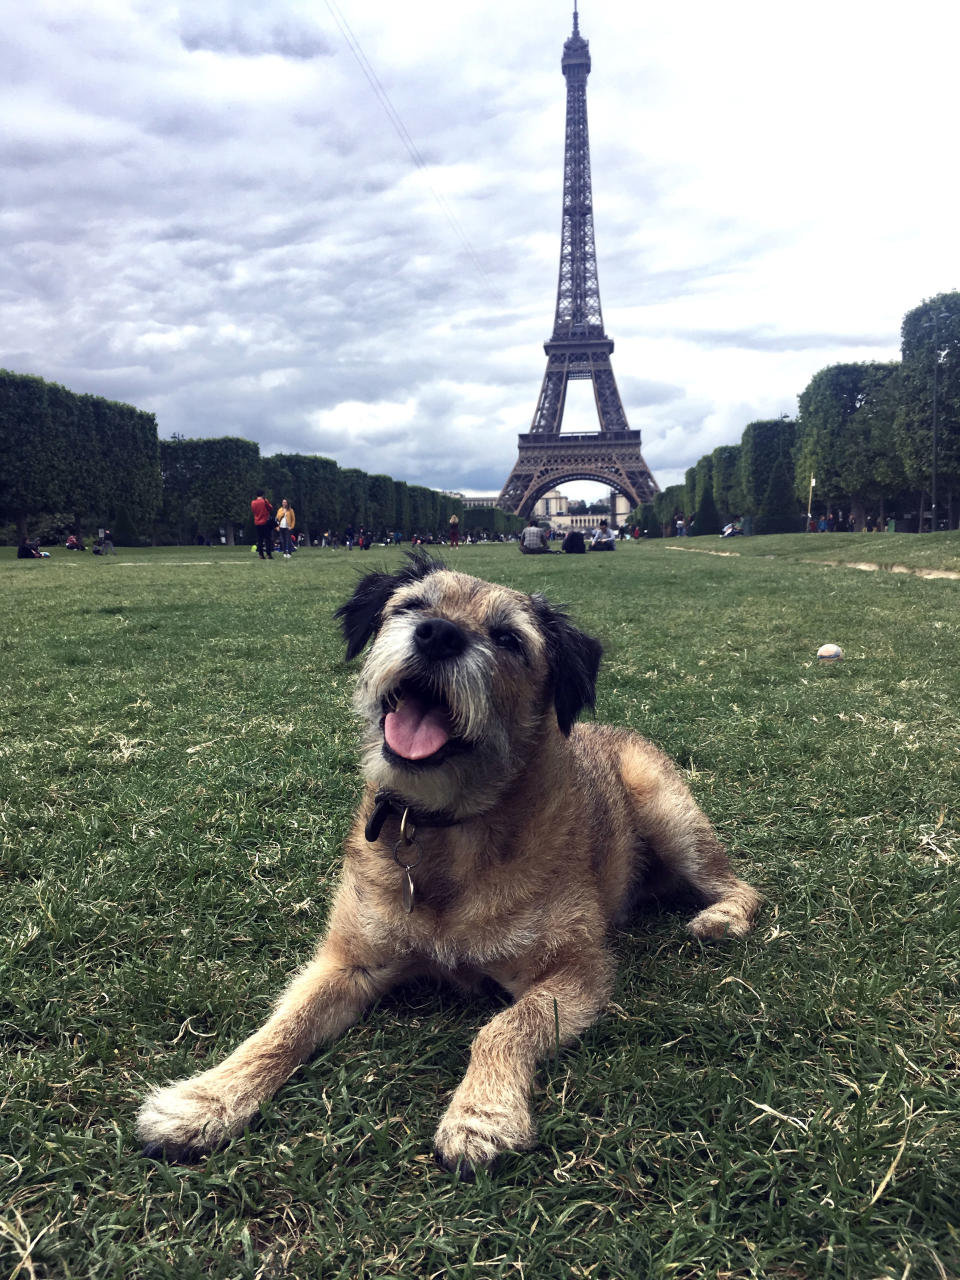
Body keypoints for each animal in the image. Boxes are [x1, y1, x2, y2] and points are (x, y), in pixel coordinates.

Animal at [136, 555, 757, 1172]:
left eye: (508, 638)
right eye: (412, 606)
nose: (438, 634)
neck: (444, 830)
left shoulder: (577, 971)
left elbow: (505, 1028)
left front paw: (482, 1114)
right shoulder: (348, 961)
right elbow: (287, 1023)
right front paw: (208, 1097)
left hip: (665, 811)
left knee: (743, 885)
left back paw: (722, 917)